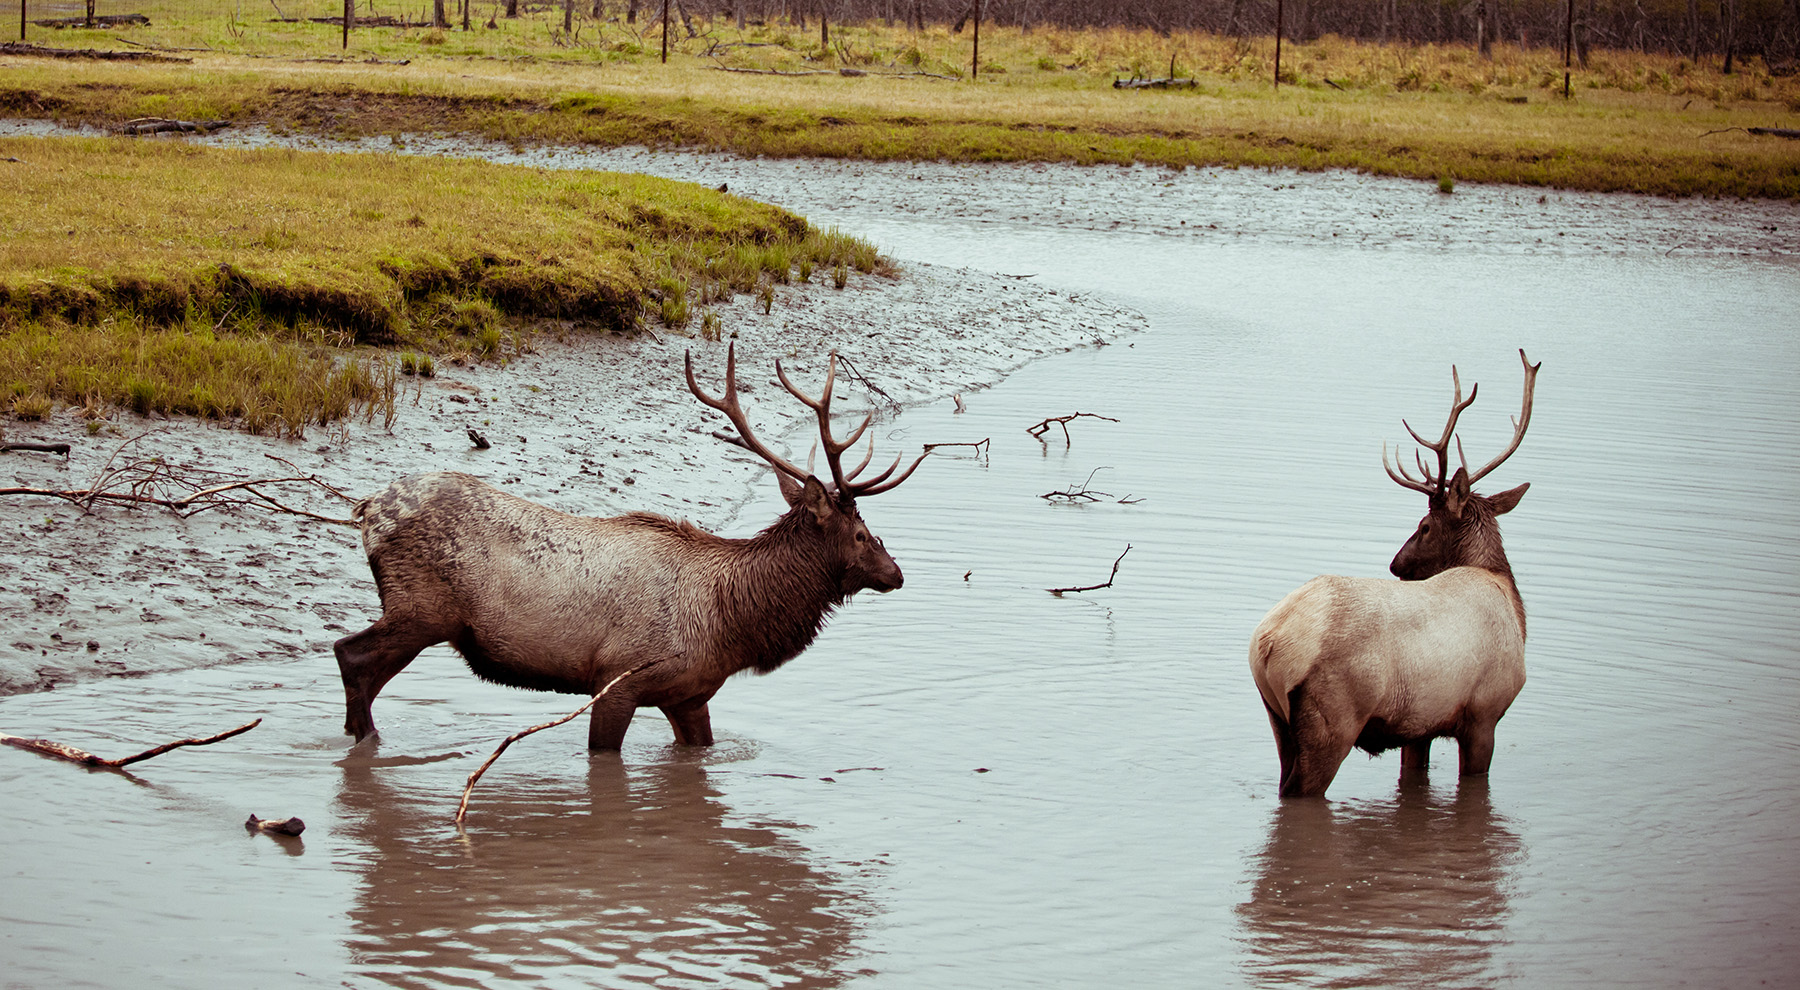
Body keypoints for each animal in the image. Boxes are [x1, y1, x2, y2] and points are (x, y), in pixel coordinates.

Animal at [333, 342, 928, 752]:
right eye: (860, 534)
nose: (897, 572)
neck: (727, 624)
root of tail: (366, 509)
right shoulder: (618, 678)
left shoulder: (689, 696)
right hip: (421, 609)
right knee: (348, 652)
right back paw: (366, 742)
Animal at [1249, 349, 1540, 798]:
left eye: (1424, 527)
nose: (1396, 565)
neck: (1508, 596)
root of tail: (1268, 643)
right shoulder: (1484, 714)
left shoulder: (1419, 728)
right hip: (1332, 720)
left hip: (1275, 717)